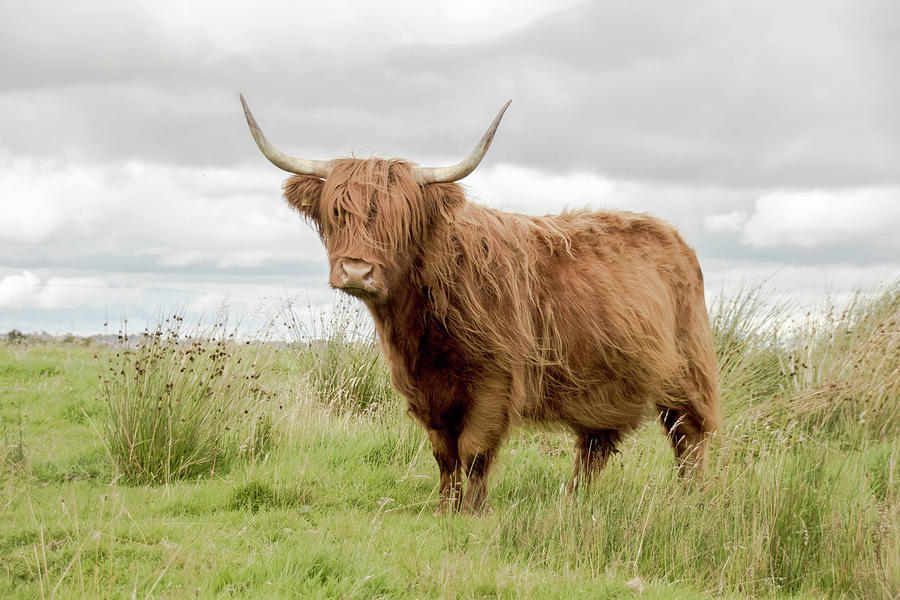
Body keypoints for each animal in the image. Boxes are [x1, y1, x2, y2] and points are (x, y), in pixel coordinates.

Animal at [239, 96, 716, 512]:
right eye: (337, 212)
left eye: (402, 220)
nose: (357, 271)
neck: (417, 325)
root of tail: (674, 237)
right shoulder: (424, 390)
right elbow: (443, 454)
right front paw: (444, 509)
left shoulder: (494, 383)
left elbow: (473, 451)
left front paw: (473, 511)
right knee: (595, 445)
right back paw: (572, 502)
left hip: (686, 371)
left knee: (689, 435)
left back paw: (690, 501)